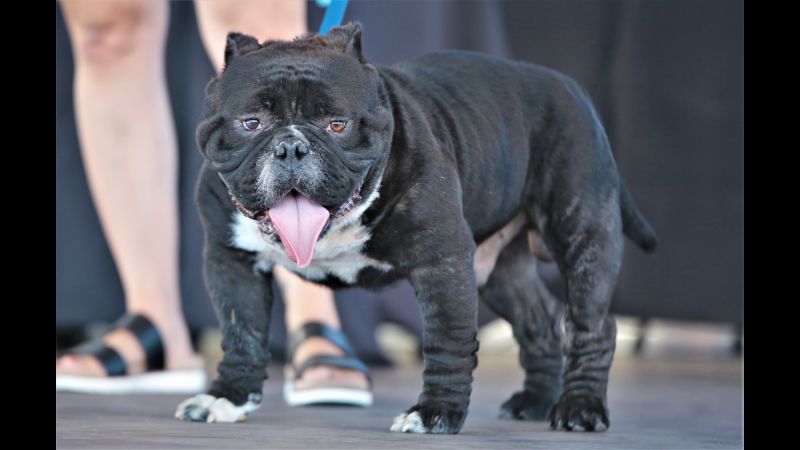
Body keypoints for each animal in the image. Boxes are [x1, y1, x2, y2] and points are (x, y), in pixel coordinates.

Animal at [178, 22, 660, 434]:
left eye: (337, 124)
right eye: (250, 123)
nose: (291, 147)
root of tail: (574, 92)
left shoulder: (442, 262)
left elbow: (446, 341)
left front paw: (435, 414)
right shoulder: (232, 264)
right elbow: (241, 334)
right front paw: (227, 398)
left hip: (583, 237)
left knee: (591, 325)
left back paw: (580, 408)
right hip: (498, 272)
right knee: (538, 320)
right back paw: (535, 402)